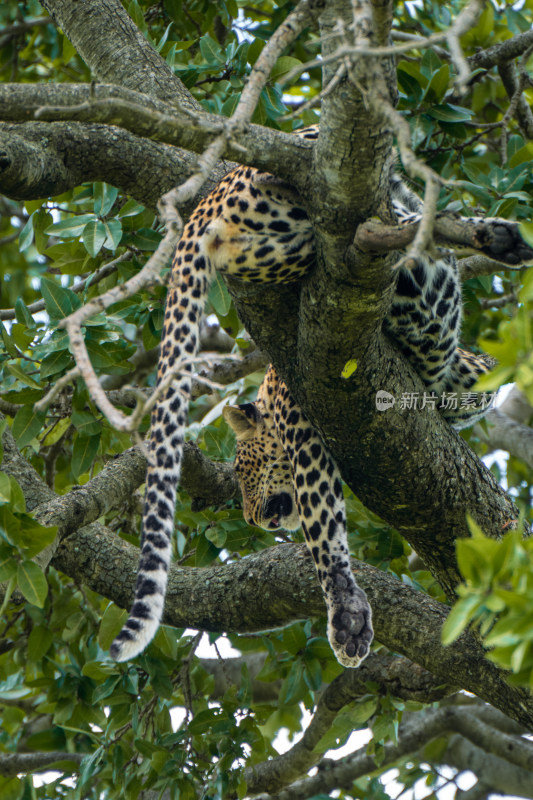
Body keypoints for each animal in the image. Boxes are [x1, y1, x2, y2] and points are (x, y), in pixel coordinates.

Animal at [109, 123, 532, 668]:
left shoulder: (303, 419)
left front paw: (345, 609)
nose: (252, 519)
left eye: (242, 469)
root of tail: (210, 198)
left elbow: (322, 525)